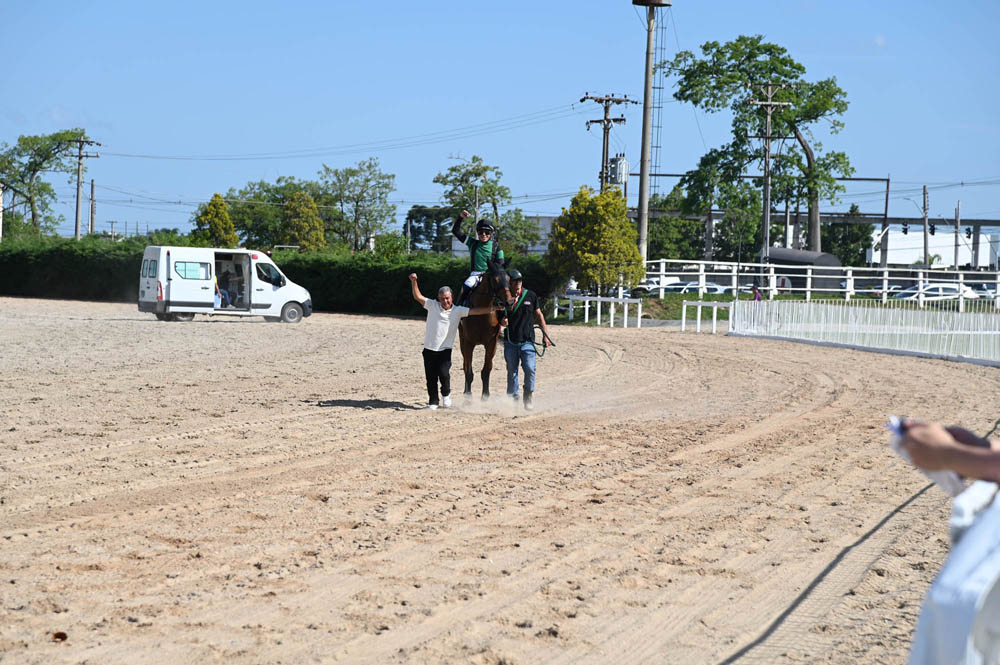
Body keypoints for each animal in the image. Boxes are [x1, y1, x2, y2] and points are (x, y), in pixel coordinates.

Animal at [458, 260, 512, 400]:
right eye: (495, 279)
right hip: (462, 340)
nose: (509, 302)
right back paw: (465, 392)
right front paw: (468, 397)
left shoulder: (491, 343)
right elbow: (468, 370)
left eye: (508, 278)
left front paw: (485, 396)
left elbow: (486, 370)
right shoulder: (468, 343)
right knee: (465, 364)